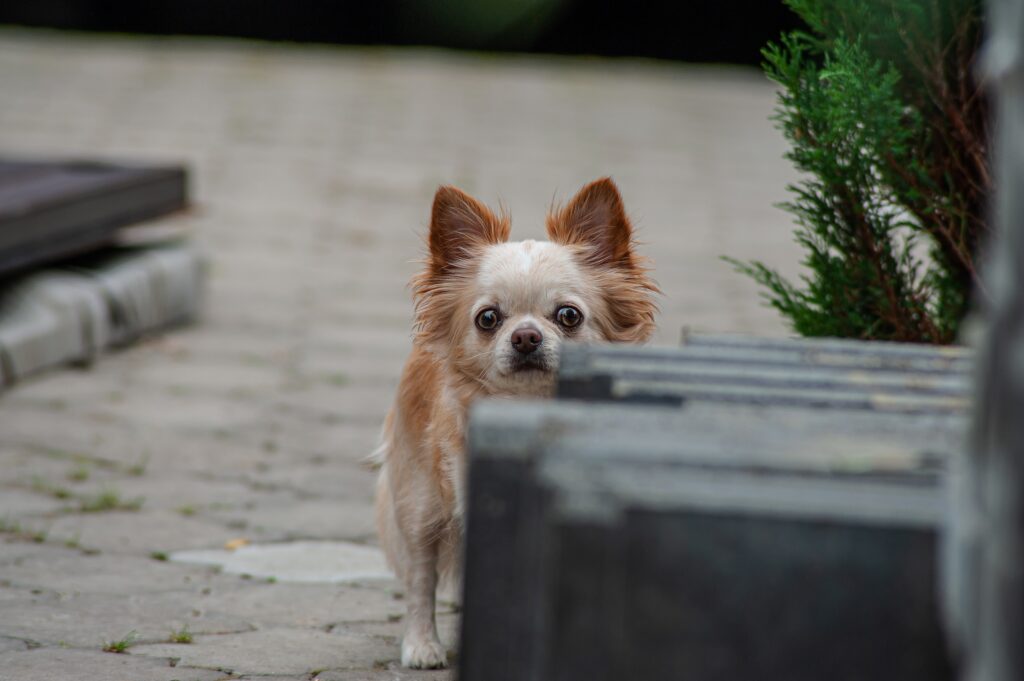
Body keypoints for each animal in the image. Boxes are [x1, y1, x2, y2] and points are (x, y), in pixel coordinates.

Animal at [374, 176, 655, 667]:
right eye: (488, 318)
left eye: (568, 315)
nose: (525, 337)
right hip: (419, 501)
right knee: (421, 576)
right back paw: (422, 644)